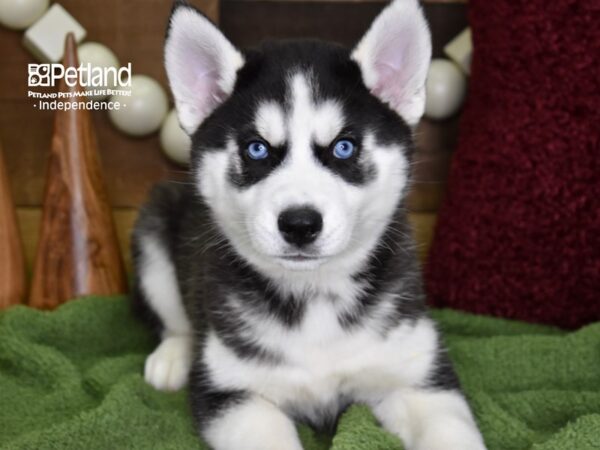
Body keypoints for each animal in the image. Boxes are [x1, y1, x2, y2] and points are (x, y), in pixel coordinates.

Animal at [131, 1, 488, 448]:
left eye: (344, 147)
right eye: (256, 149)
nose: (299, 224)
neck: (314, 294)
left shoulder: (420, 378)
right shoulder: (231, 391)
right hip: (153, 234)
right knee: (173, 318)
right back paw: (173, 357)